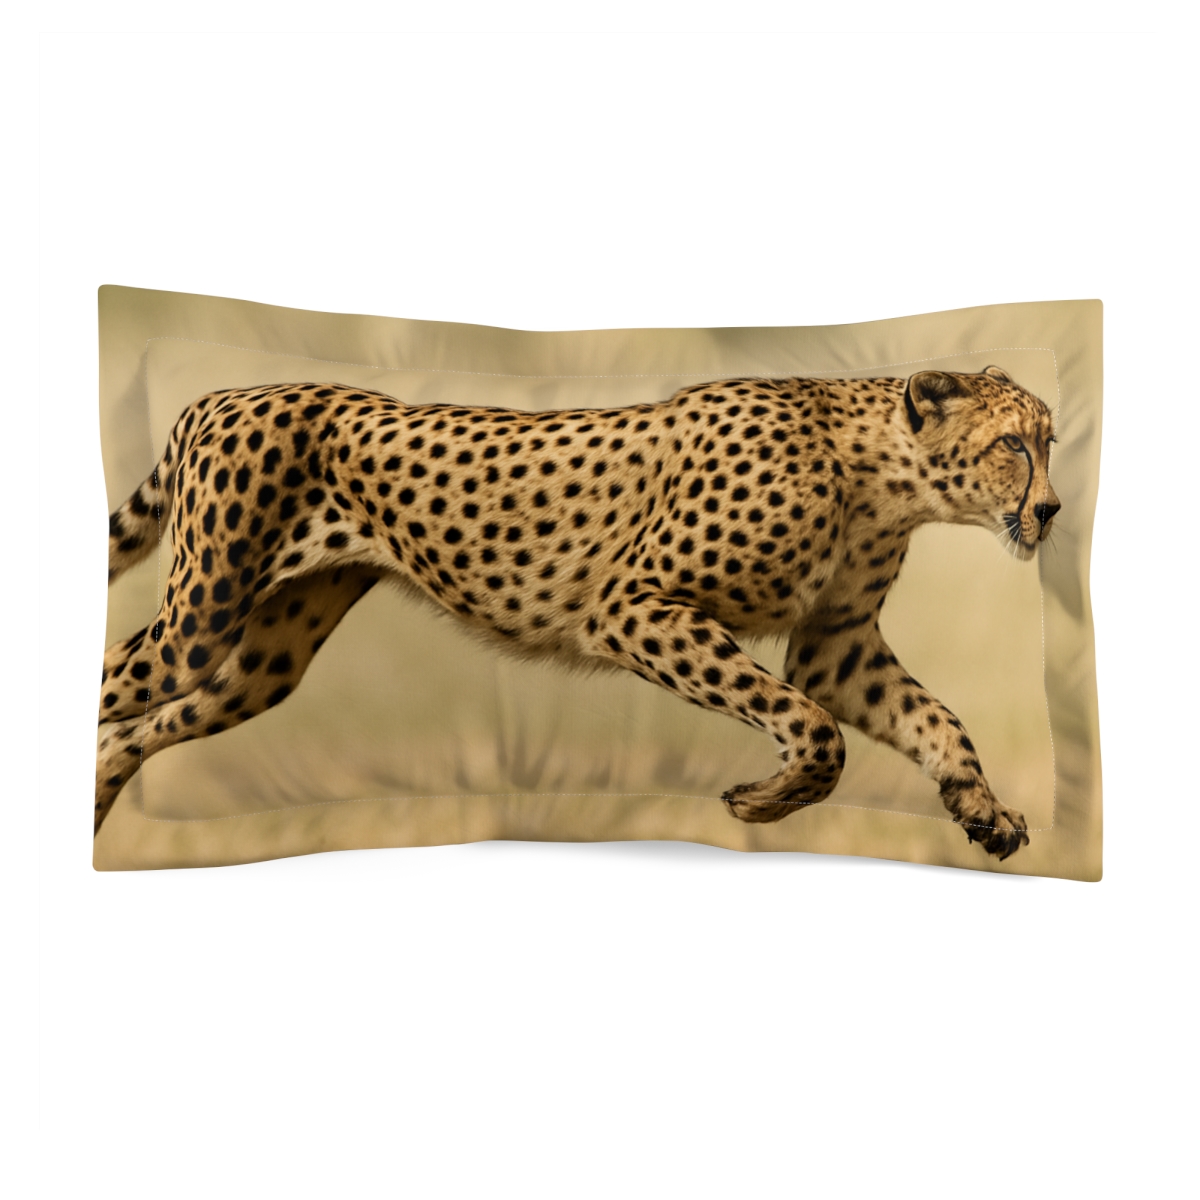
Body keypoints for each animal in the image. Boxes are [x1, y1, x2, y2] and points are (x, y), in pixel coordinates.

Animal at [97, 365, 1060, 859]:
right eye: (1013, 444)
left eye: (1050, 441)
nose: (1052, 511)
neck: (876, 473)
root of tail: (219, 393)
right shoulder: (633, 608)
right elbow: (817, 730)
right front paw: (761, 803)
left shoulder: (837, 646)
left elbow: (935, 719)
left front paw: (981, 808)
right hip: (200, 620)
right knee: (110, 690)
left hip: (262, 661)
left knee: (127, 731)